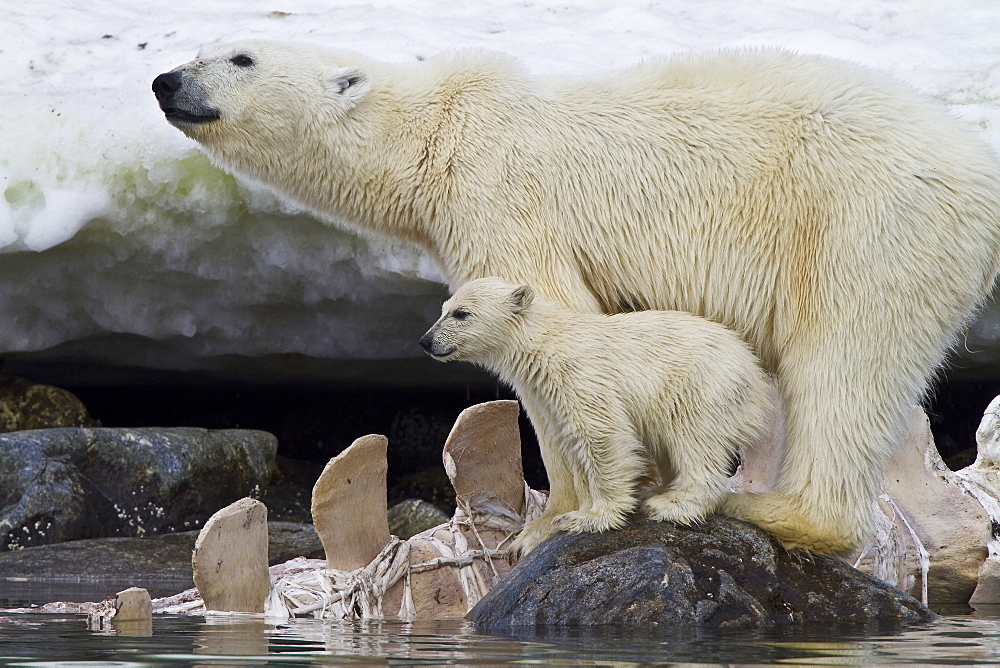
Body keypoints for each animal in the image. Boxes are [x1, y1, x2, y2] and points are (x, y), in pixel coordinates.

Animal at [418, 276, 768, 552]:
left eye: (461, 313)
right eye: (443, 309)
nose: (426, 340)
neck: (541, 342)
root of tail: (755, 375)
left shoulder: (579, 375)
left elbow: (600, 433)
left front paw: (590, 517)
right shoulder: (545, 396)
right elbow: (572, 446)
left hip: (700, 385)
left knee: (695, 439)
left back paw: (672, 504)